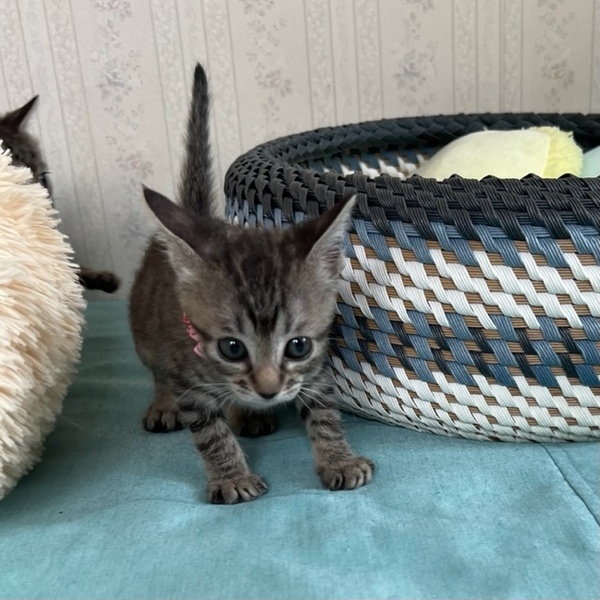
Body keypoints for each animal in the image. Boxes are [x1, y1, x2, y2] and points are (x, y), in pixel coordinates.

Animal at [129, 63, 374, 504]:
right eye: (231, 348)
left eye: (297, 346)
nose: (268, 392)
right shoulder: (190, 382)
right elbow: (210, 433)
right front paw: (231, 477)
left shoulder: (314, 367)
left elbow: (325, 412)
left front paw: (339, 460)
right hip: (144, 334)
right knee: (158, 371)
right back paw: (165, 404)